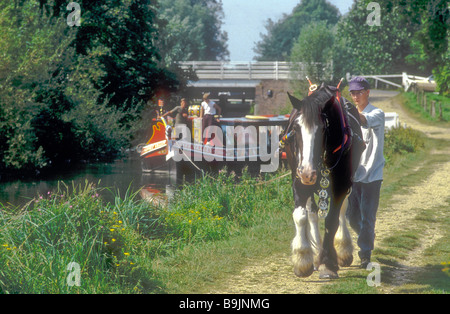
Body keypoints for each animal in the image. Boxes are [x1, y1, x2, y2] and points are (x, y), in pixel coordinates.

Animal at [284, 84, 366, 280]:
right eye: (296, 128)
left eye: (323, 128)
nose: (307, 172)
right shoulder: (298, 181)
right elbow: (301, 216)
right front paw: (302, 259)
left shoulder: (342, 185)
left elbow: (332, 221)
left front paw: (328, 263)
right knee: (312, 213)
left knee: (342, 211)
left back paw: (343, 249)